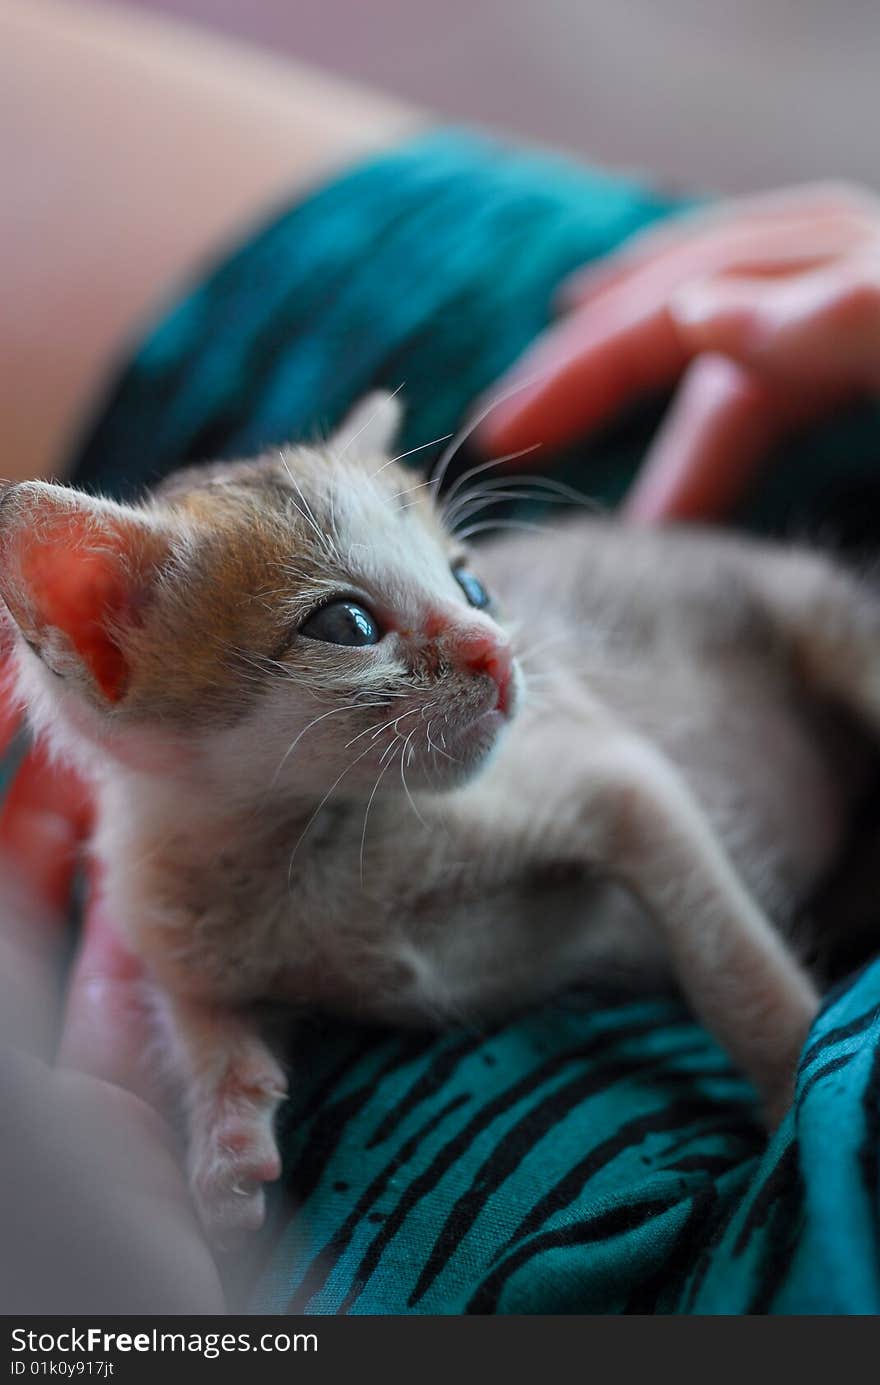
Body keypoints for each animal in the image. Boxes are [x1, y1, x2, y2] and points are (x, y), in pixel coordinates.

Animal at [1, 396, 880, 1240]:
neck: (316, 842)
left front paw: (792, 1098)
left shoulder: (614, 775)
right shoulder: (163, 907)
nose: (500, 651)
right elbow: (191, 1002)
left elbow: (732, 962)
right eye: (346, 625)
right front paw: (226, 1137)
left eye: (473, 586)